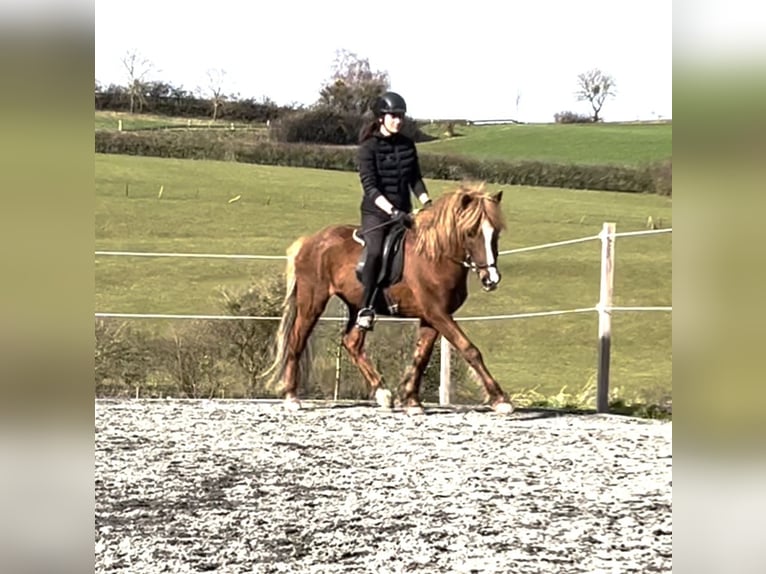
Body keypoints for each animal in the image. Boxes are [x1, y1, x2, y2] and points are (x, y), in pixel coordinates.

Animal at [264, 183, 516, 414]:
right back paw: (292, 397)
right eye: (471, 232)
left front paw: (411, 399)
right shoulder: (437, 313)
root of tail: (310, 241)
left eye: (495, 233)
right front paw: (500, 399)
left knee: (352, 342)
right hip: (312, 302)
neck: (435, 257)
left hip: (357, 306)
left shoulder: (432, 316)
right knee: (297, 340)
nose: (491, 279)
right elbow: (469, 349)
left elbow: (421, 357)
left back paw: (383, 393)